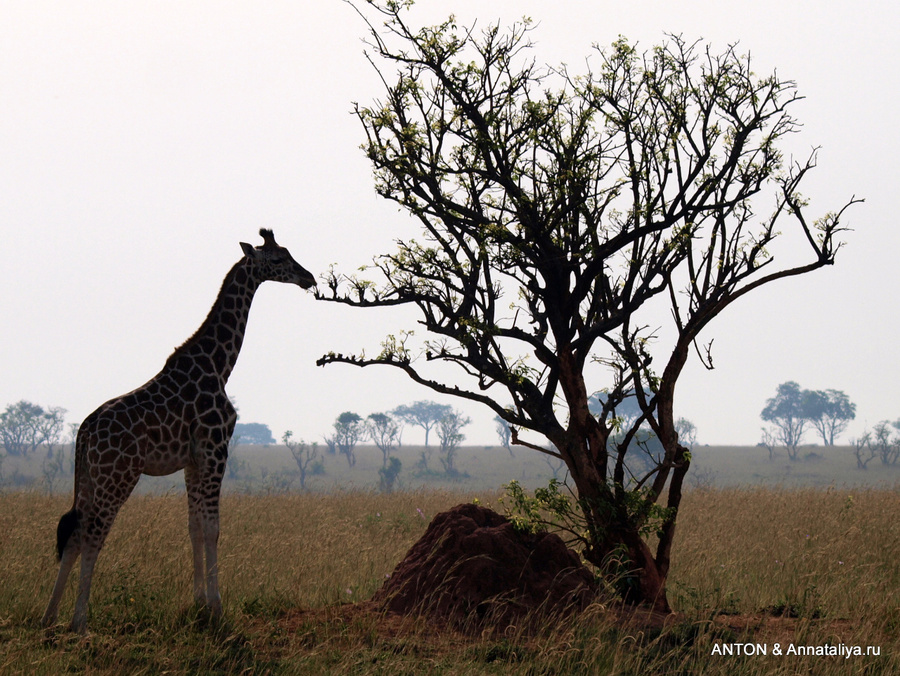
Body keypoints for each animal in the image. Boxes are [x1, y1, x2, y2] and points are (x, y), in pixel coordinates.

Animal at [42, 228, 316, 632]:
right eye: (280, 258)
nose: (308, 278)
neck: (220, 364)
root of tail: (84, 433)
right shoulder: (216, 450)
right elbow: (213, 527)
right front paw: (216, 607)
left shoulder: (193, 461)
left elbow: (194, 527)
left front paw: (199, 605)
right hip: (118, 476)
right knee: (93, 535)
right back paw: (80, 621)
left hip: (90, 478)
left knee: (74, 533)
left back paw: (49, 618)